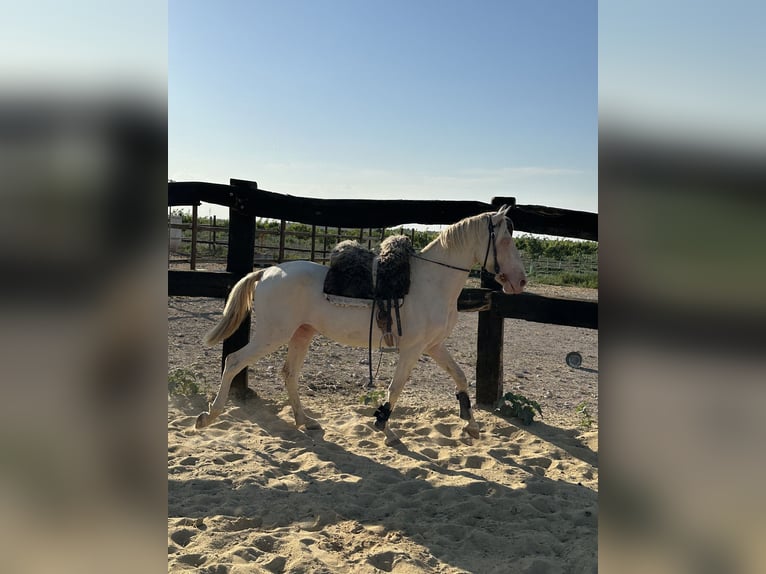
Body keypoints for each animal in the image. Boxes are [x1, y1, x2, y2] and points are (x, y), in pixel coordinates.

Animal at [196, 205, 528, 448]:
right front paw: (384, 427)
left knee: (288, 373)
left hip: (301, 333)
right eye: (505, 240)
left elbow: (460, 377)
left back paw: (305, 421)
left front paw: (471, 425)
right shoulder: (412, 349)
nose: (521, 281)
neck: (431, 281)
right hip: (272, 335)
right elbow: (396, 387)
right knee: (234, 360)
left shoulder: (433, 346)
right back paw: (209, 416)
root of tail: (266, 272)